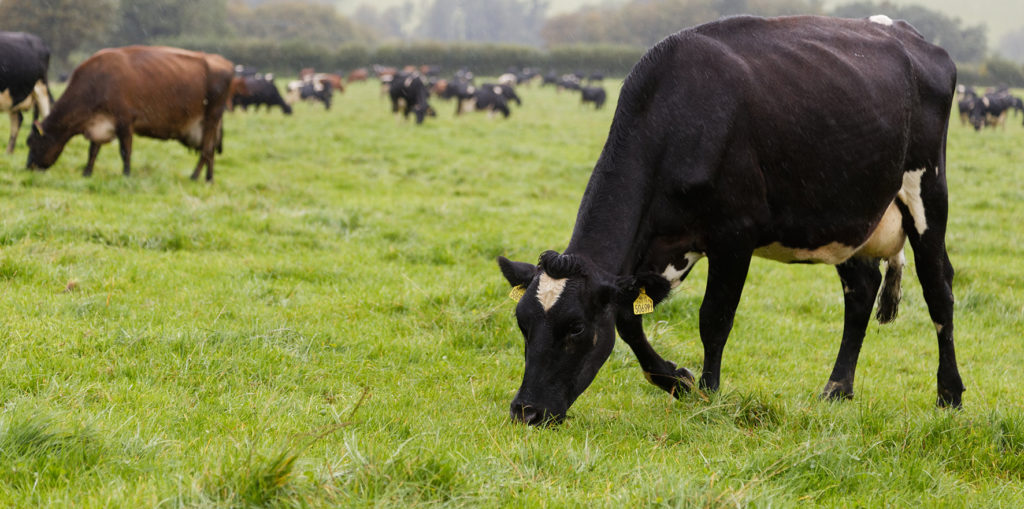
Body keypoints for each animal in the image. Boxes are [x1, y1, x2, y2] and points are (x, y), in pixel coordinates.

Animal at [28, 44, 237, 181]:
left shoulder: (125, 120)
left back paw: (194, 176)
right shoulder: (99, 122)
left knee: (207, 149)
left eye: (33, 143)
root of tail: (225, 63)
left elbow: (125, 151)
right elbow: (93, 151)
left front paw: (126, 175)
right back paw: (208, 179)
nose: (28, 167)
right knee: (210, 150)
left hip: (211, 116)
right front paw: (87, 173)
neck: (96, 83)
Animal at [499, 13, 962, 423]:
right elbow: (629, 320)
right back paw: (837, 388)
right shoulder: (660, 247)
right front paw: (678, 381)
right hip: (845, 217)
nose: (526, 411)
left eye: (575, 328)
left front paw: (708, 394)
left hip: (927, 190)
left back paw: (949, 395)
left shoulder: (734, 237)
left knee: (938, 288)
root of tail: (906, 33)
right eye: (522, 323)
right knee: (862, 291)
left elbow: (714, 319)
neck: (678, 115)